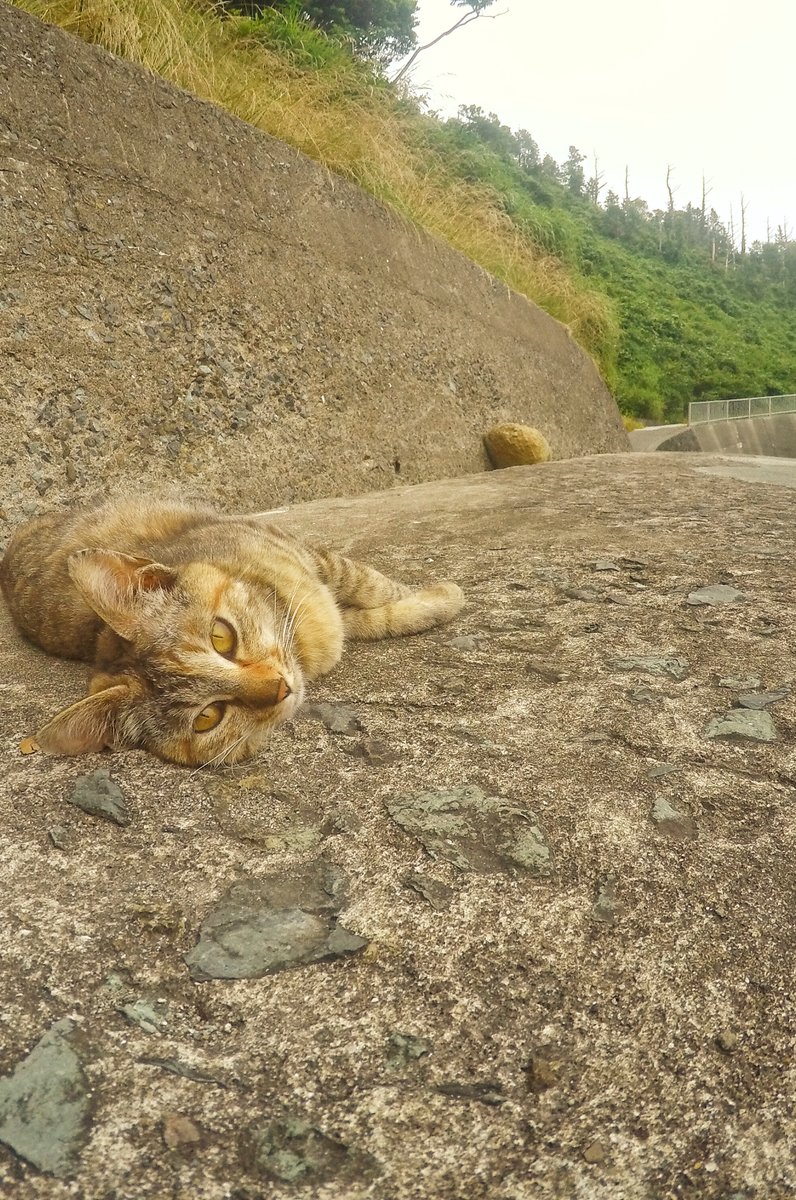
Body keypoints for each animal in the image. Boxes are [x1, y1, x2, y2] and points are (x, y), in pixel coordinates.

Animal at [0, 499, 463, 763]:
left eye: (221, 637)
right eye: (208, 717)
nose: (281, 688)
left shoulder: (312, 558)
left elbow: (371, 583)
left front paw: (442, 595)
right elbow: (372, 614)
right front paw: (438, 600)